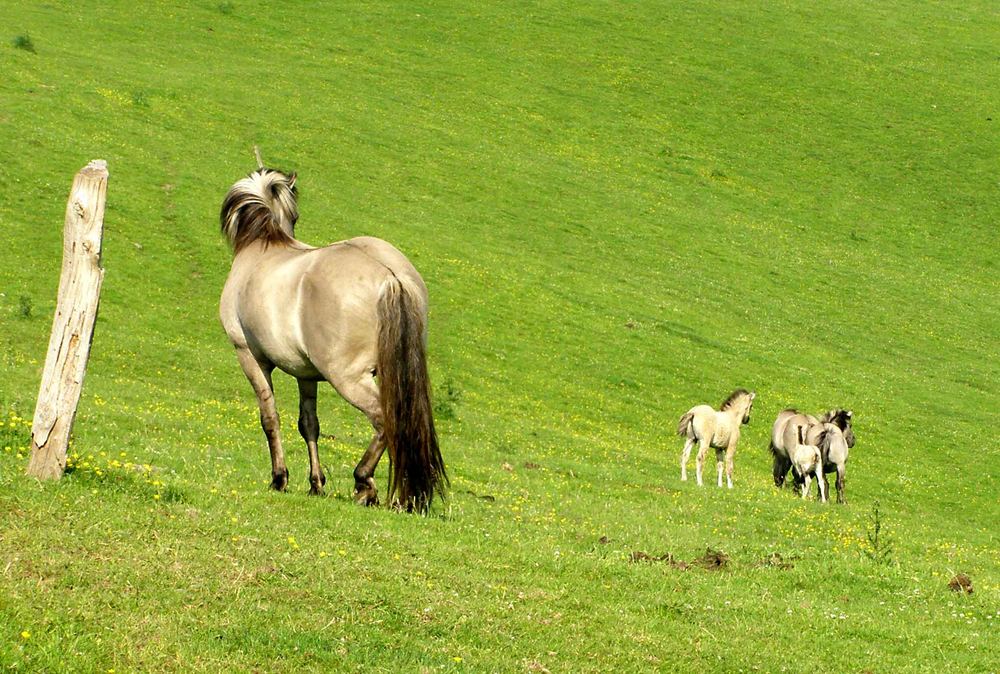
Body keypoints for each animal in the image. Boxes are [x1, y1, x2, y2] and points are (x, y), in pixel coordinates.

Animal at [223, 165, 450, 512]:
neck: (263, 247)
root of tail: (389, 275)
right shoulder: (305, 373)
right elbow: (309, 424)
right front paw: (316, 483)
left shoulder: (249, 356)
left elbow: (270, 418)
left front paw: (279, 478)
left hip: (349, 378)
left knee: (384, 420)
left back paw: (364, 483)